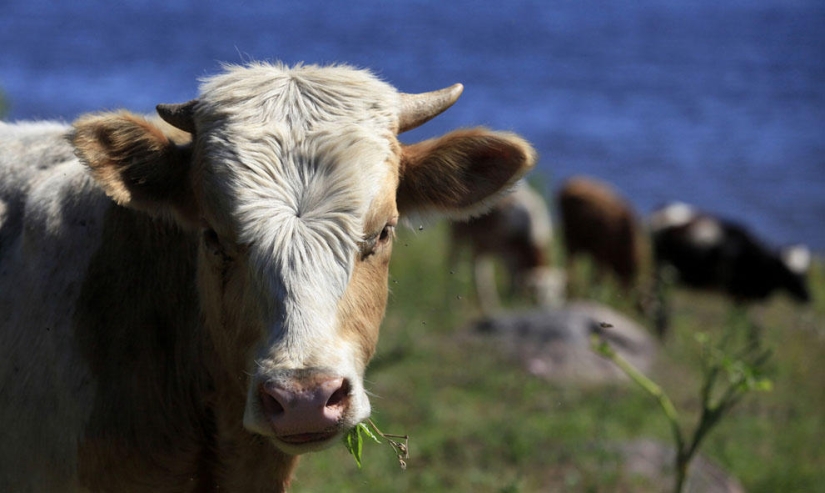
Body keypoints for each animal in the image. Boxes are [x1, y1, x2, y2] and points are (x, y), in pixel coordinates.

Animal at [448, 180, 564, 312]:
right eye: (538, 295)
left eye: (558, 293)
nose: (551, 308)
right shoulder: (507, 251)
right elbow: (513, 279)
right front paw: (515, 302)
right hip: (459, 233)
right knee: (455, 261)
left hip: (482, 243)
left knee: (480, 270)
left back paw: (488, 303)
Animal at [648, 200, 808, 334]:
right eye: (791, 275)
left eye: (805, 274)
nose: (807, 297)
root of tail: (663, 214)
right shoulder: (736, 295)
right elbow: (737, 324)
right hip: (663, 271)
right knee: (659, 301)